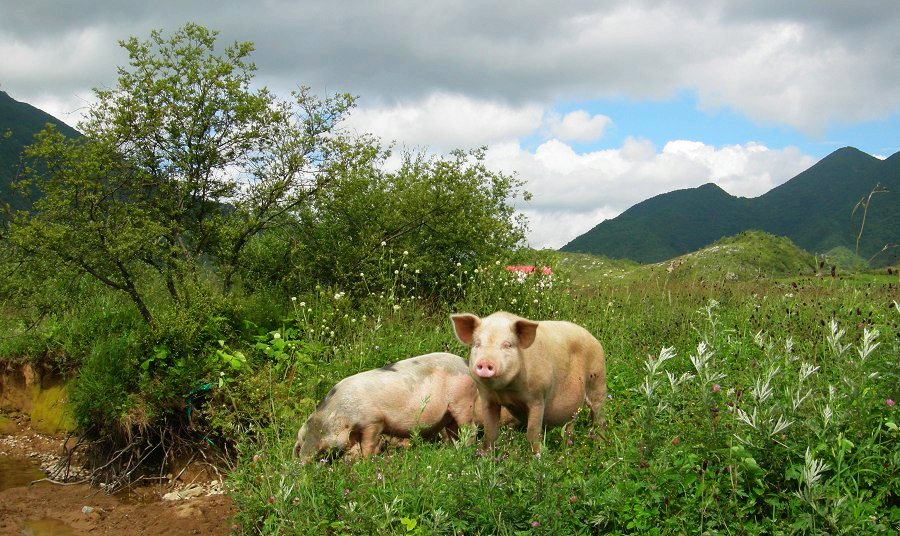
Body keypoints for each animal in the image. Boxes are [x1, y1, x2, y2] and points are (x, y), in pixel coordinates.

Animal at [294, 352, 478, 460]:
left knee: (471, 429)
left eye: (321, 433)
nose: (302, 461)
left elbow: (368, 444)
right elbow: (355, 447)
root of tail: (465, 363)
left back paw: (463, 450)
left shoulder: (374, 421)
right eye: (301, 439)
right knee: (453, 432)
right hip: (448, 414)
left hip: (463, 401)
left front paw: (367, 461)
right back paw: (449, 450)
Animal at [448, 312, 604, 454]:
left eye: (507, 345)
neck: (506, 390)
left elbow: (532, 432)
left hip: (597, 380)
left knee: (598, 417)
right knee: (570, 425)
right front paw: (484, 456)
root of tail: (594, 338)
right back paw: (567, 448)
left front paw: (537, 457)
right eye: (477, 344)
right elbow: (490, 432)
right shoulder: (487, 398)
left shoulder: (538, 397)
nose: (485, 362)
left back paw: (599, 445)